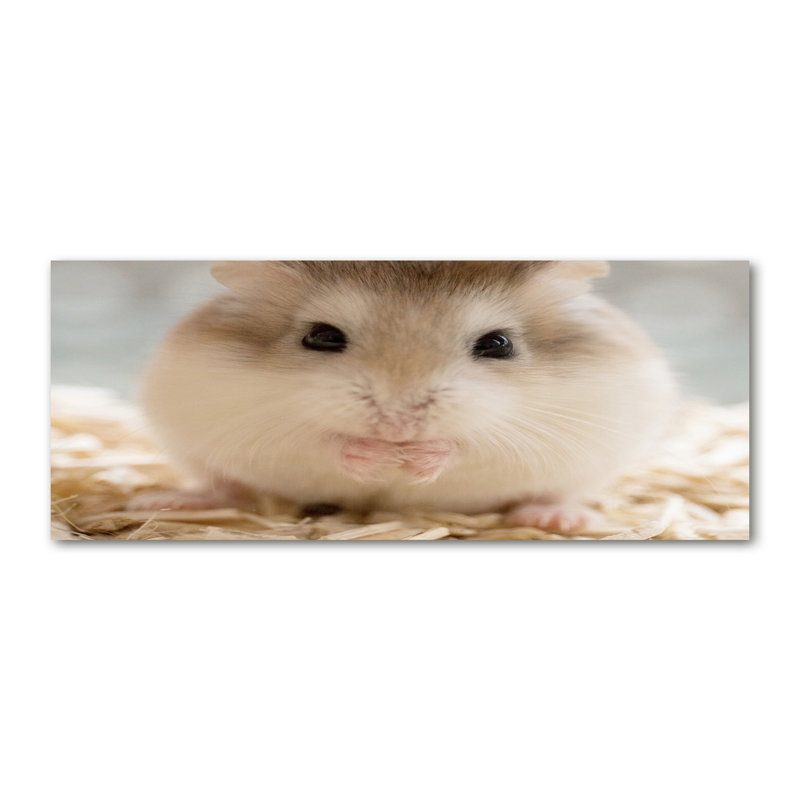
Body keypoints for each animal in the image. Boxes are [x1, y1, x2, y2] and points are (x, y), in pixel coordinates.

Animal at [131, 261, 677, 532]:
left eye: (498, 344)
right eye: (322, 337)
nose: (397, 424)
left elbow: (470, 444)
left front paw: (416, 458)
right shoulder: (248, 416)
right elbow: (321, 440)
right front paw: (377, 456)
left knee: (556, 493)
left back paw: (558, 518)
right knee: (227, 488)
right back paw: (165, 501)